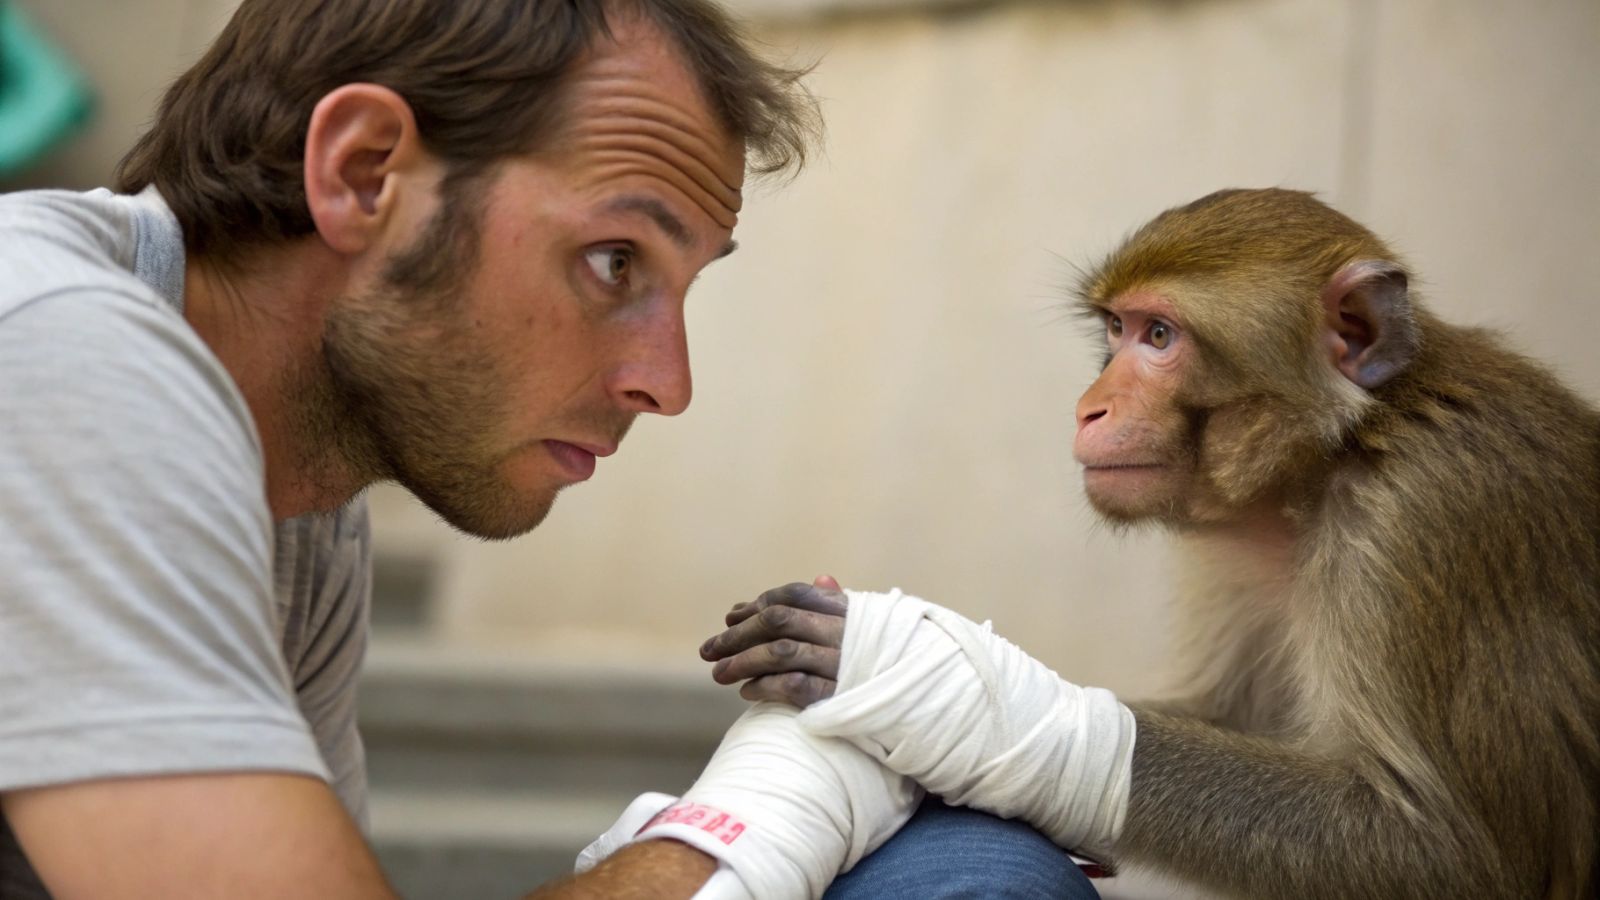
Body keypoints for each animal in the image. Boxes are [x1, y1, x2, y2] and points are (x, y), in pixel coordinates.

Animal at [700, 188, 1600, 899]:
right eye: (1115, 328)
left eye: (1160, 336)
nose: (1087, 406)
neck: (1329, 459)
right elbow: (1236, 718)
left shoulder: (1423, 519)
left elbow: (1438, 848)